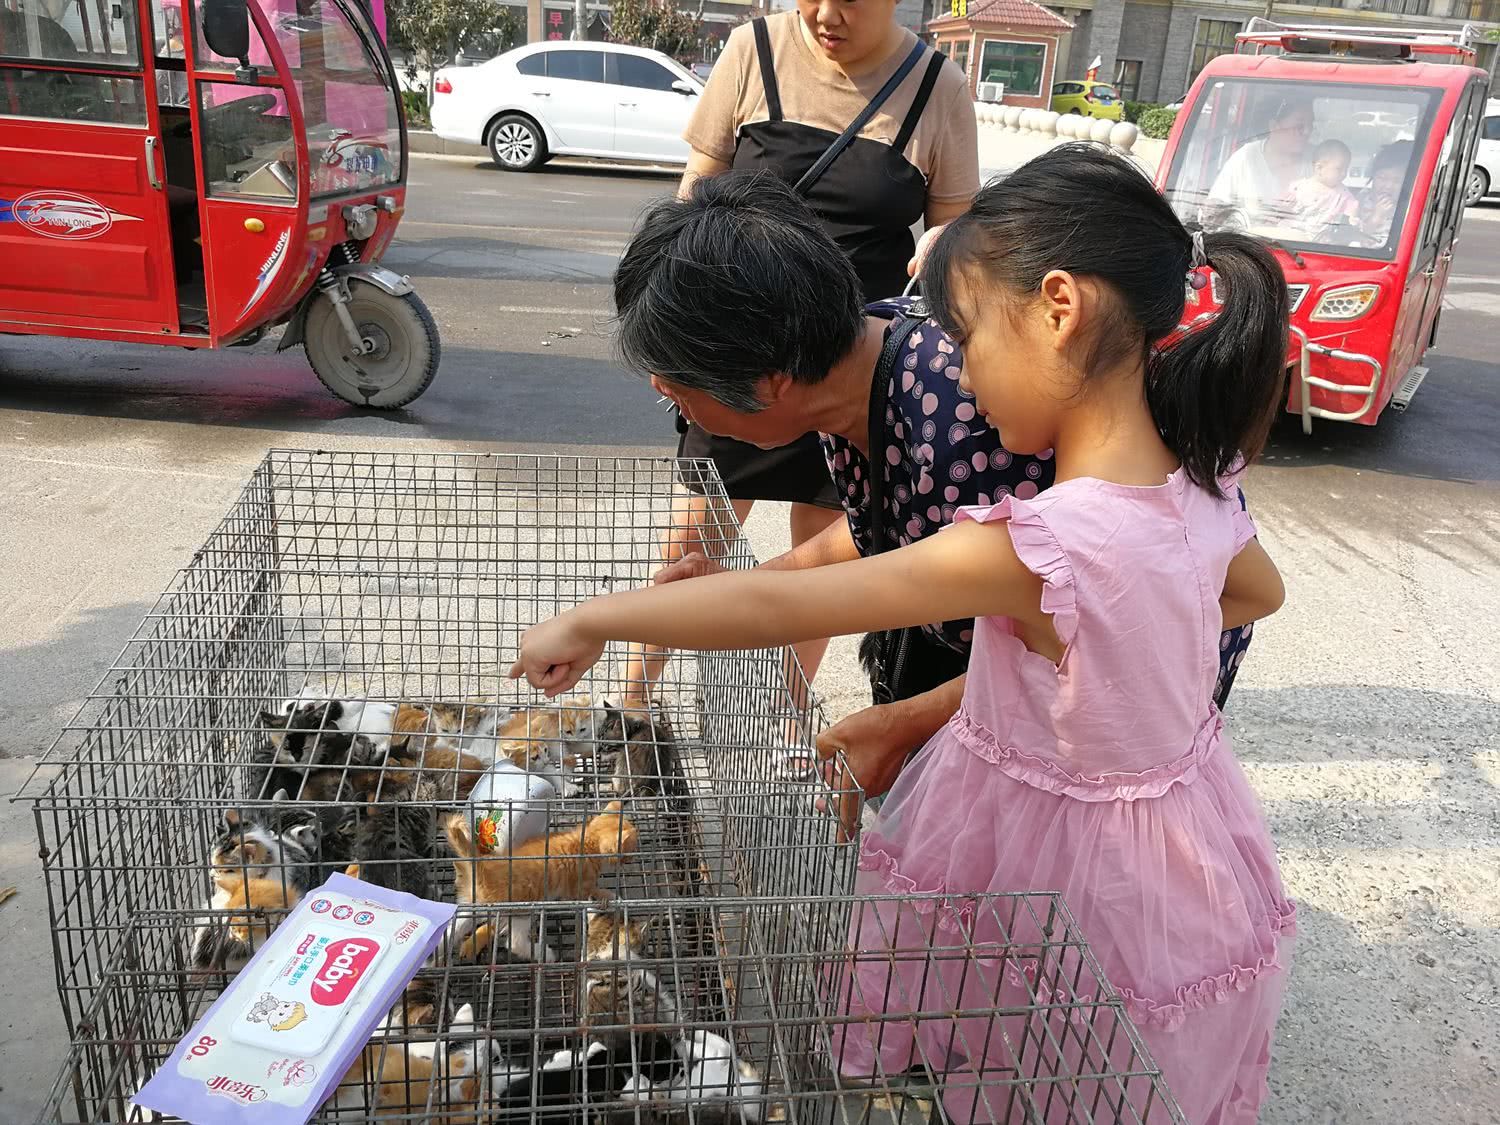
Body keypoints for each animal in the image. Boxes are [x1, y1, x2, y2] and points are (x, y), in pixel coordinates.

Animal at [441, 804, 636, 972]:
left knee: (451, 929)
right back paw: (545, 953)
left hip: (470, 905)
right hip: (522, 906)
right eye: (633, 848)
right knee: (514, 942)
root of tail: (481, 870)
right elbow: (590, 894)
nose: (632, 859)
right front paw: (608, 896)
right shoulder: (578, 888)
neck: (587, 840)